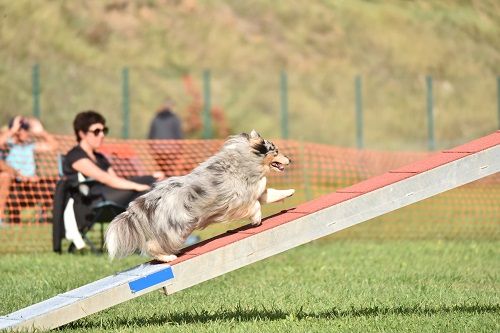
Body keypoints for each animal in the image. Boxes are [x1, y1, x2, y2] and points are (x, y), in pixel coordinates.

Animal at [105, 130, 292, 262]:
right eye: (276, 151)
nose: (290, 160)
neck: (246, 160)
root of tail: (150, 199)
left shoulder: (255, 191)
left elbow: (271, 194)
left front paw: (290, 192)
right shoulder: (237, 201)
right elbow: (256, 206)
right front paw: (257, 219)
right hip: (179, 227)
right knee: (151, 245)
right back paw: (168, 257)